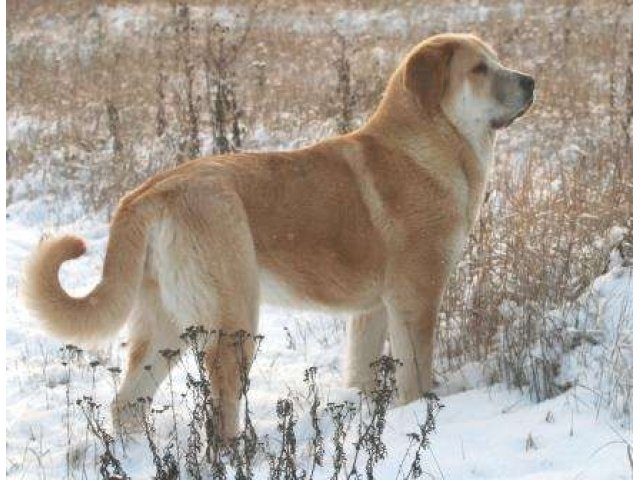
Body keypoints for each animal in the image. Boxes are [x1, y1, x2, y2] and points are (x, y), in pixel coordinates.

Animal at [22, 32, 536, 438]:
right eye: (479, 69)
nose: (531, 81)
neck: (429, 143)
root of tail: (151, 192)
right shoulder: (416, 299)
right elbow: (417, 378)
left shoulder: (372, 311)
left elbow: (364, 371)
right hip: (233, 321)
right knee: (220, 412)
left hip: (163, 323)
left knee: (127, 404)